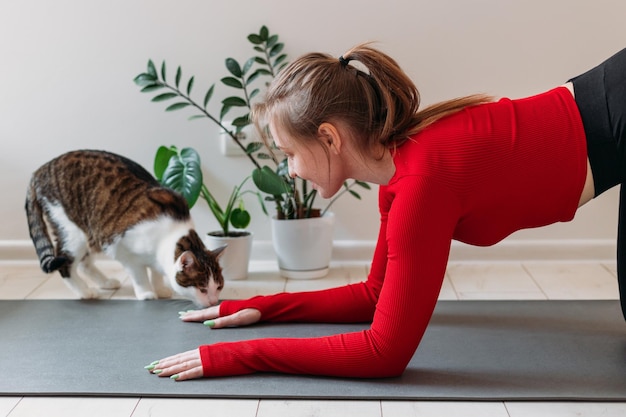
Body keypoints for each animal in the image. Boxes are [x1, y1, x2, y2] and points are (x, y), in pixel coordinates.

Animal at [25, 150, 224, 306]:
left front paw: (160, 288)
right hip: (72, 229)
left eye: (219, 287)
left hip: (91, 233)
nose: (213, 302)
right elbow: (139, 274)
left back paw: (106, 282)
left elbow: (156, 273)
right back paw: (85, 291)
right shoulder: (123, 250)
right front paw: (147, 293)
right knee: (66, 264)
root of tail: (39, 171)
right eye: (202, 288)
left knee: (84, 263)